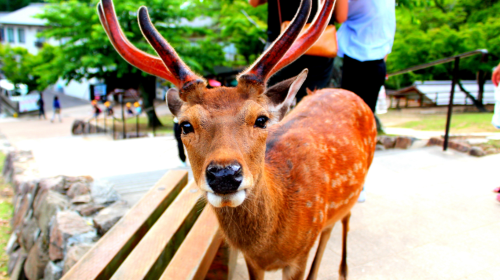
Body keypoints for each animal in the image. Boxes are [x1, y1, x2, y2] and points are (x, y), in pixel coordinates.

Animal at [98, 0, 376, 278]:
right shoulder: (252, 260)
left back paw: (343, 269)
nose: (224, 174)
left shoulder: (300, 253)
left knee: (341, 222)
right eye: (186, 125)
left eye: (261, 120)